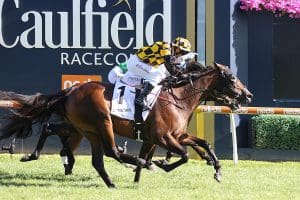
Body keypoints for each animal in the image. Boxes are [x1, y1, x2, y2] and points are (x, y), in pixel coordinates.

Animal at [0, 62, 253, 188]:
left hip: (85, 129)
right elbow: (183, 155)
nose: (247, 95)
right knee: (111, 152)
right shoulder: (163, 137)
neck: (178, 99)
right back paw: (133, 164)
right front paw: (159, 164)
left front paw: (217, 170)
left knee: (92, 156)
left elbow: (204, 143)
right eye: (231, 78)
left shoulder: (176, 135)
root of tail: (71, 91)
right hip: (102, 123)